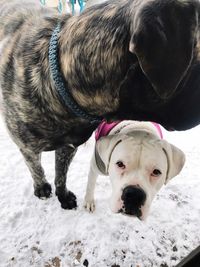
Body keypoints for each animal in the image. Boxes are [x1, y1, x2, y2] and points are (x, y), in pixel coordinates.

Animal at [0, 0, 200, 209]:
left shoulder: (68, 147)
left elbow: (61, 174)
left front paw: (63, 195)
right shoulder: (28, 148)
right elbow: (36, 168)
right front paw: (41, 187)